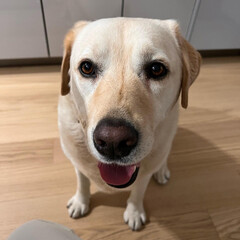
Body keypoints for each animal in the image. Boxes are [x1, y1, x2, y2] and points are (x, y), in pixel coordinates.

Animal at [58, 17, 201, 231]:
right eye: (87, 67)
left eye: (156, 69)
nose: (113, 142)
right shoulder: (77, 162)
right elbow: (82, 182)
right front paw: (80, 202)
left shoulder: (143, 174)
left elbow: (138, 192)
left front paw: (134, 212)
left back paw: (162, 171)